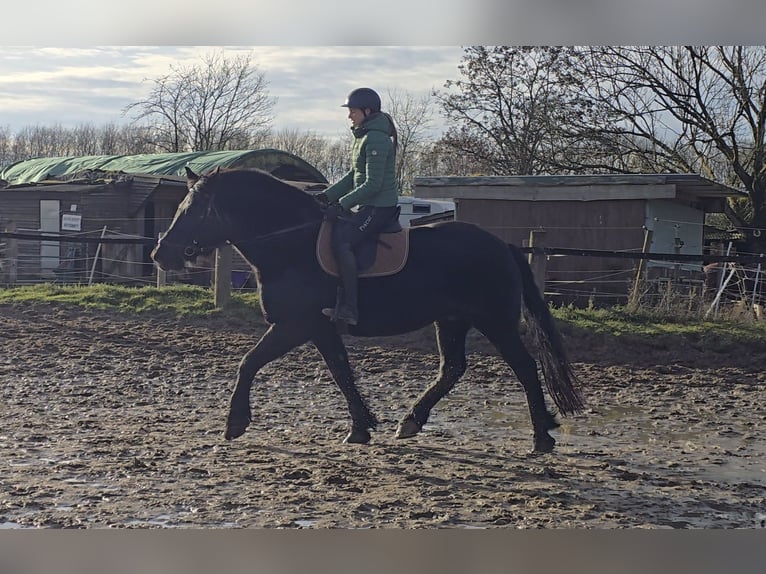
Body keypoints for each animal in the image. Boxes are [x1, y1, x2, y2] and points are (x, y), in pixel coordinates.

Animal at [151, 167, 585, 453]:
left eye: (195, 210)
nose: (160, 254)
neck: (291, 244)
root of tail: (502, 246)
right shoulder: (318, 327)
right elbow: (341, 371)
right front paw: (360, 427)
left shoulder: (294, 324)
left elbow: (248, 363)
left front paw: (235, 423)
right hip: (452, 321)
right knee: (452, 369)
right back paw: (410, 421)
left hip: (495, 321)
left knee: (524, 368)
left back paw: (541, 437)